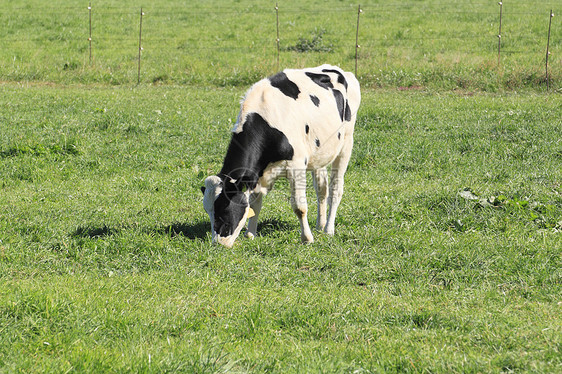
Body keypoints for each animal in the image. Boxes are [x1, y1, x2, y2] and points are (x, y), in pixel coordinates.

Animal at [201, 65, 358, 247]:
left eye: (224, 208)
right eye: (208, 211)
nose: (218, 243)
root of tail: (337, 69)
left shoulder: (297, 166)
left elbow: (299, 207)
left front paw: (307, 238)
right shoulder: (257, 174)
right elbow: (255, 204)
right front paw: (250, 233)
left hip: (346, 143)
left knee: (335, 189)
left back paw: (328, 229)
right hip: (320, 153)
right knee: (322, 189)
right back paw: (320, 225)